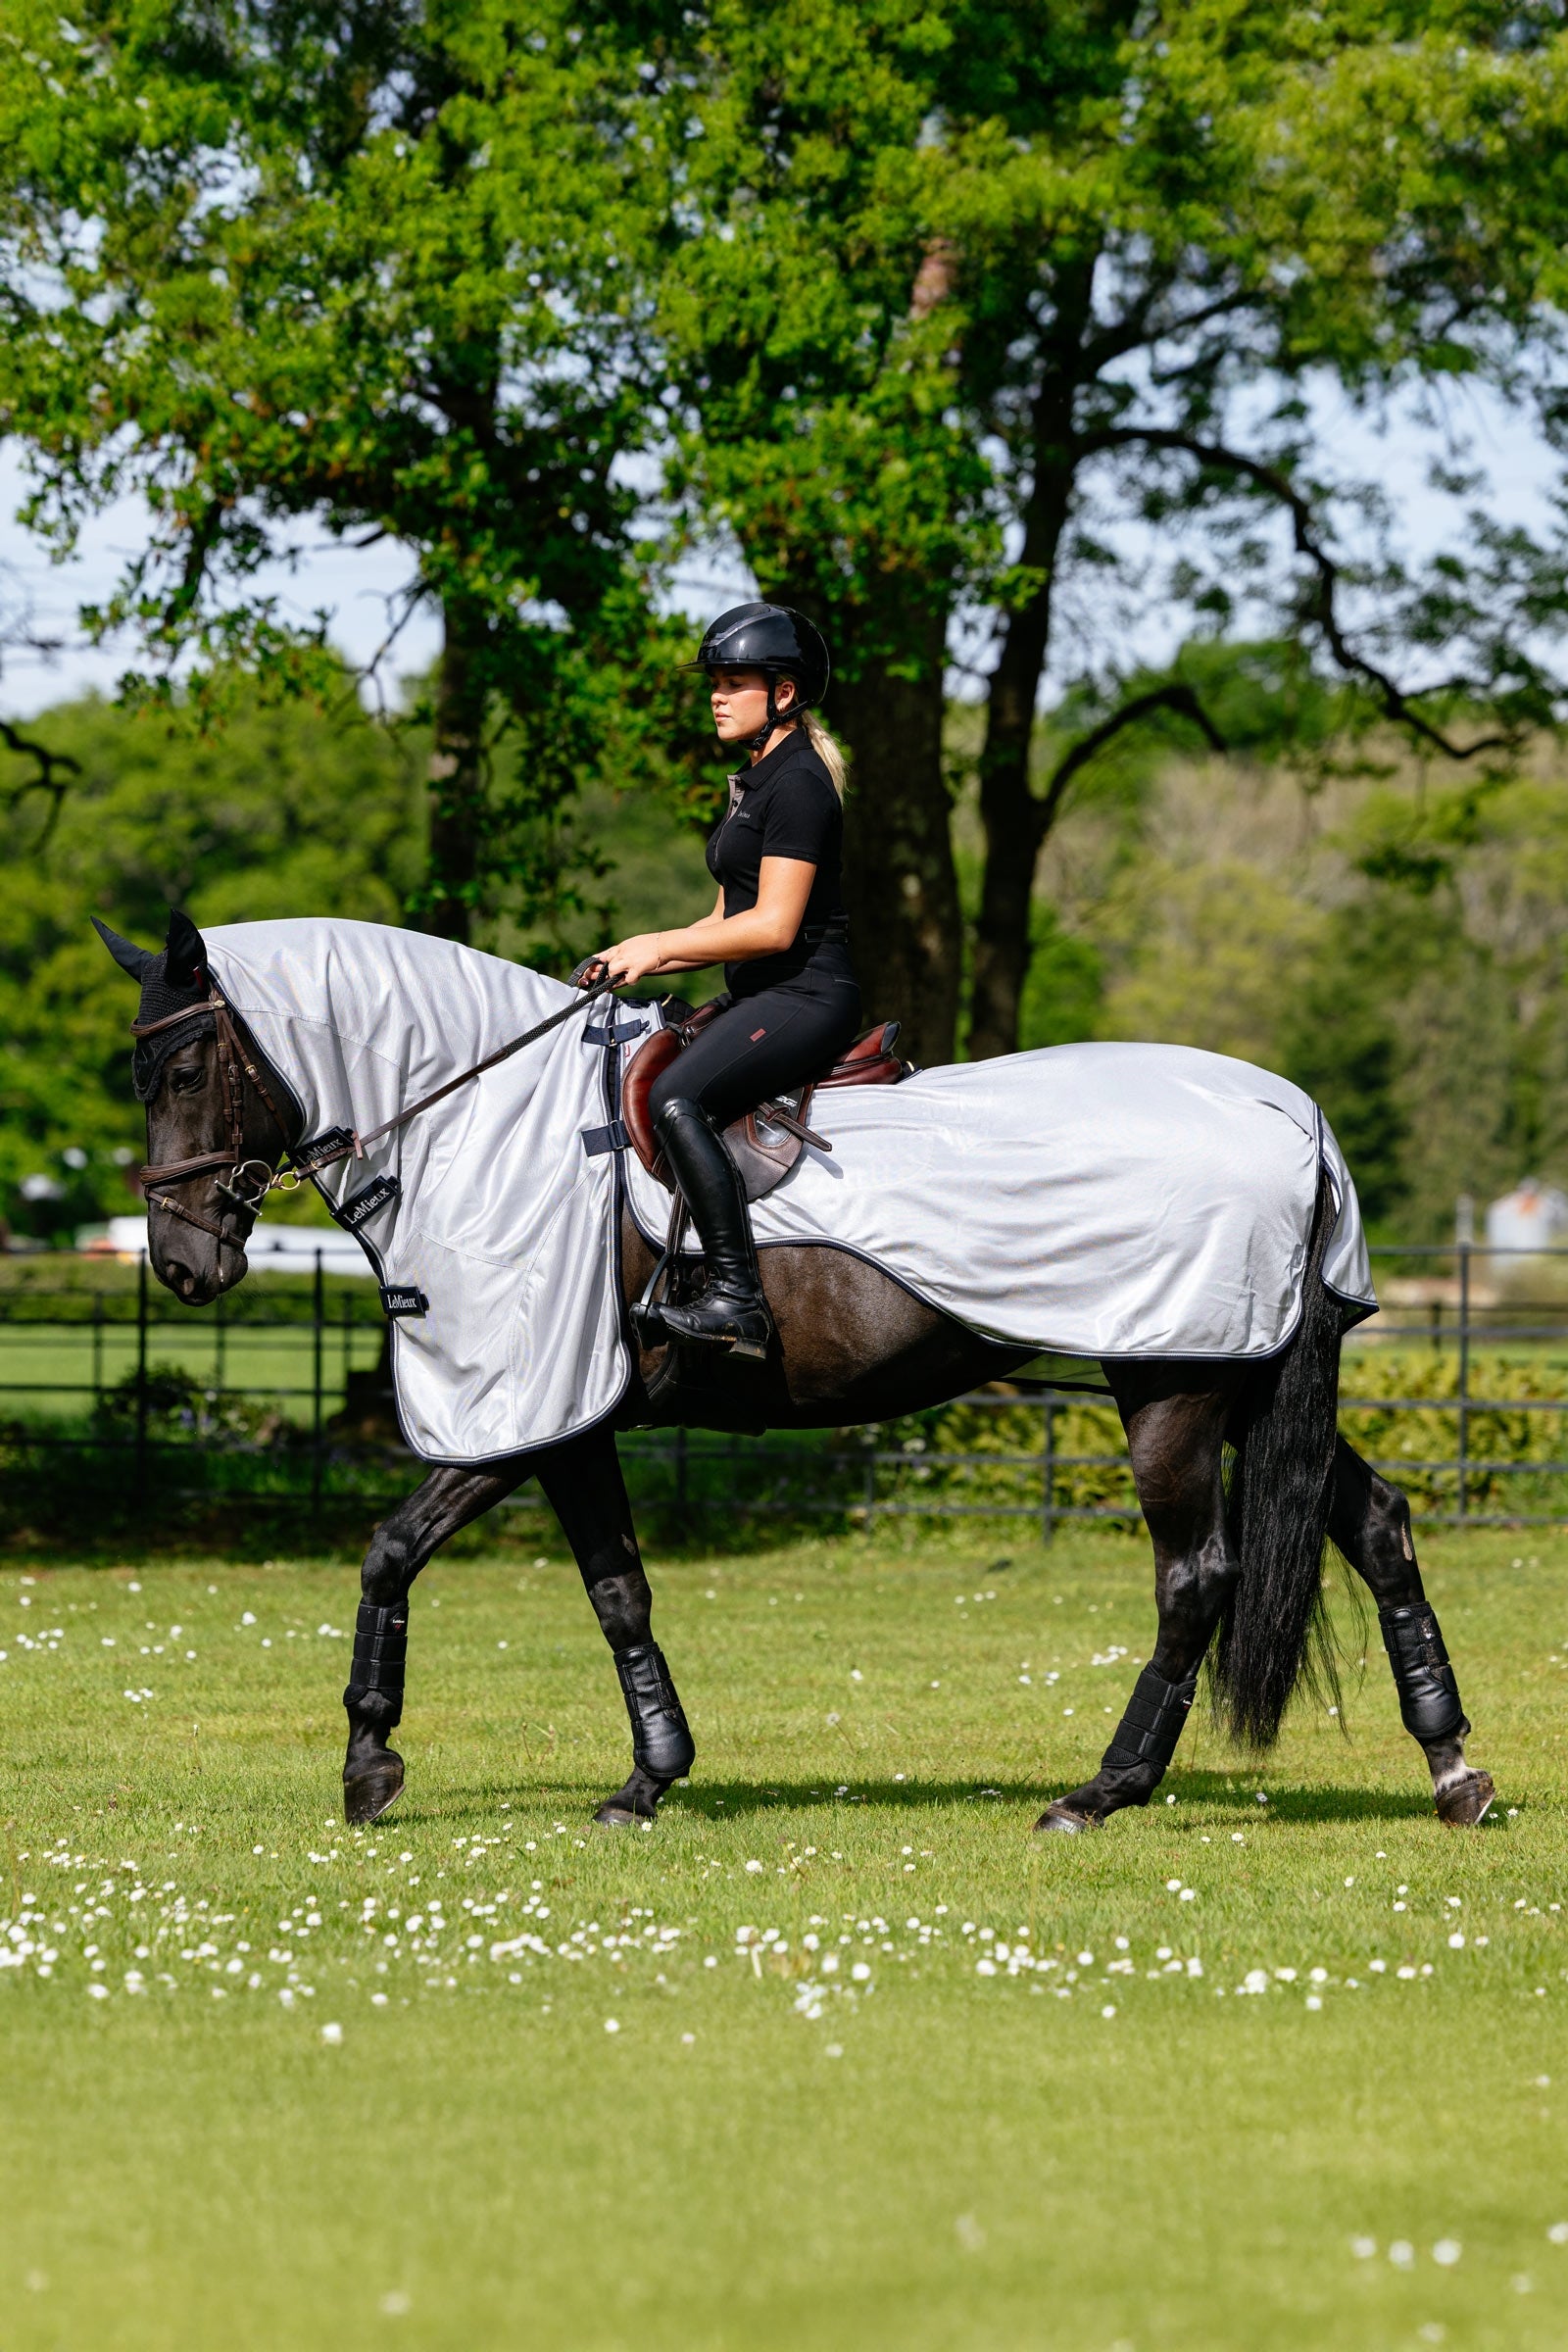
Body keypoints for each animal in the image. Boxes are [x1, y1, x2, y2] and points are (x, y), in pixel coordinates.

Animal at [94, 908, 1495, 1836]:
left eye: (182, 1068)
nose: (181, 1264)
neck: (489, 1128)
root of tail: (1286, 1114)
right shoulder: (571, 1420)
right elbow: (615, 1593)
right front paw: (649, 1775)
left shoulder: (533, 1415)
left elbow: (398, 1555)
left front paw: (371, 1766)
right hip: (1251, 1380)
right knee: (1376, 1524)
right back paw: (1451, 1770)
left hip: (1171, 1385)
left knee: (1195, 1577)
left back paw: (1101, 1792)